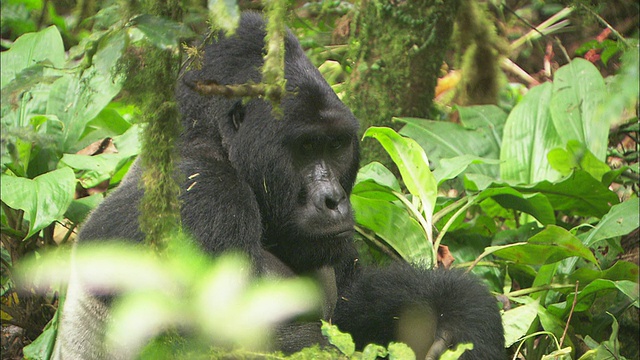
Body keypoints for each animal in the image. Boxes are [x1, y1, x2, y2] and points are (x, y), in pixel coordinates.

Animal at [55, 11, 502, 360]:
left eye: (335, 145)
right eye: (305, 147)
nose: (334, 199)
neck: (212, 142)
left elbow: (351, 307)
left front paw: (461, 310)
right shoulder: (205, 199)